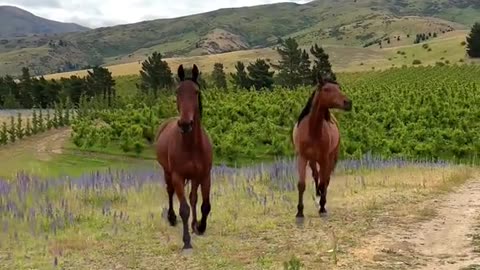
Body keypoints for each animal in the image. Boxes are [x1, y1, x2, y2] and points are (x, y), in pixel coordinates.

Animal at [156, 64, 212, 250]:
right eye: (177, 91)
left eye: (196, 91)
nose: (185, 124)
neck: (191, 146)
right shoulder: (178, 177)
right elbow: (184, 209)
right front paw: (187, 241)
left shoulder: (205, 175)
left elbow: (204, 205)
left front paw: (200, 227)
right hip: (167, 172)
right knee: (170, 192)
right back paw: (172, 218)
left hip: (194, 177)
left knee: (194, 198)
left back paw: (194, 225)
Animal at [290, 74, 350, 217]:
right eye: (327, 89)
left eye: (339, 88)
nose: (348, 103)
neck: (312, 131)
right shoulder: (302, 157)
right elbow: (301, 184)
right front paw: (299, 211)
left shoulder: (324, 159)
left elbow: (324, 182)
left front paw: (322, 207)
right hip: (313, 160)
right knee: (316, 175)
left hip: (330, 157)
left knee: (326, 180)